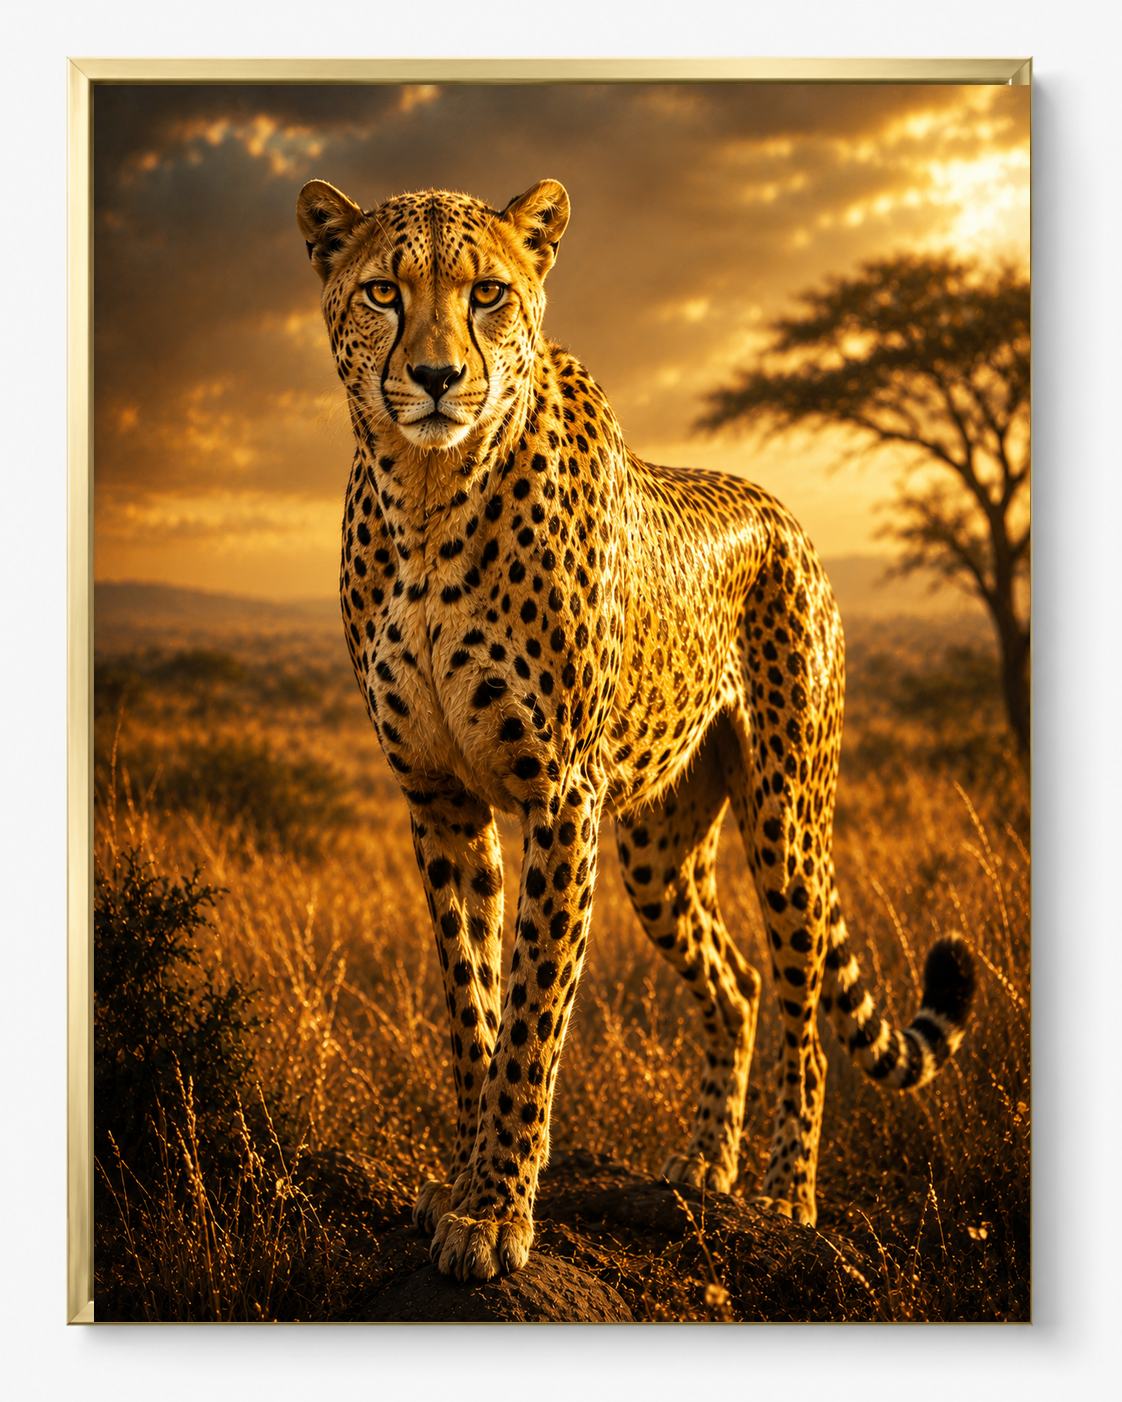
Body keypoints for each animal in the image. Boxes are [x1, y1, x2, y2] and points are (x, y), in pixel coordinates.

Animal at [296, 176, 977, 1283]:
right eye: (384, 292)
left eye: (488, 292)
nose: (438, 379)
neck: (430, 495)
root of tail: (785, 511)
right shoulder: (439, 799)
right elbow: (474, 1005)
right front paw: (467, 1183)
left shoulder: (559, 793)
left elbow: (534, 1012)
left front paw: (496, 1210)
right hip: (658, 843)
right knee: (734, 981)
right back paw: (704, 1169)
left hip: (786, 818)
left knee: (800, 1004)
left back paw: (786, 1199)